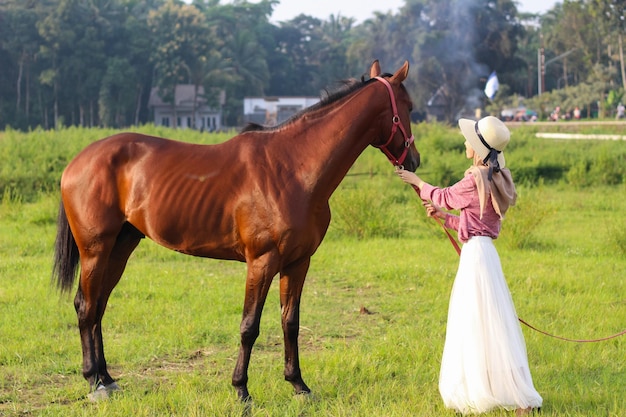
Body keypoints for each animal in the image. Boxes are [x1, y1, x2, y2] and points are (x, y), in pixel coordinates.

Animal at [53, 60, 420, 402]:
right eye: (410, 107)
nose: (414, 160)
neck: (293, 169)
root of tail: (76, 162)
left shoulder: (298, 262)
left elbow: (290, 322)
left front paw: (298, 385)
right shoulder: (262, 262)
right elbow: (249, 326)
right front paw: (241, 389)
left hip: (121, 247)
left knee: (98, 306)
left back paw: (108, 378)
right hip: (96, 250)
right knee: (86, 307)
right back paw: (94, 381)